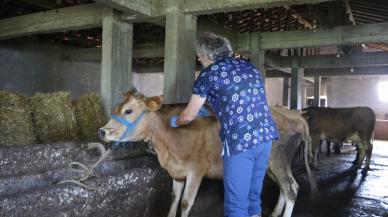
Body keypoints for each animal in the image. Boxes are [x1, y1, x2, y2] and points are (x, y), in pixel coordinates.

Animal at [98, 91, 316, 217]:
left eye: (128, 111)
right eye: (116, 108)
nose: (102, 131)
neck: (168, 144)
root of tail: (295, 115)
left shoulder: (196, 170)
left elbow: (185, 203)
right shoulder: (177, 173)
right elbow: (174, 200)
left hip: (278, 160)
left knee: (290, 190)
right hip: (273, 165)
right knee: (288, 187)